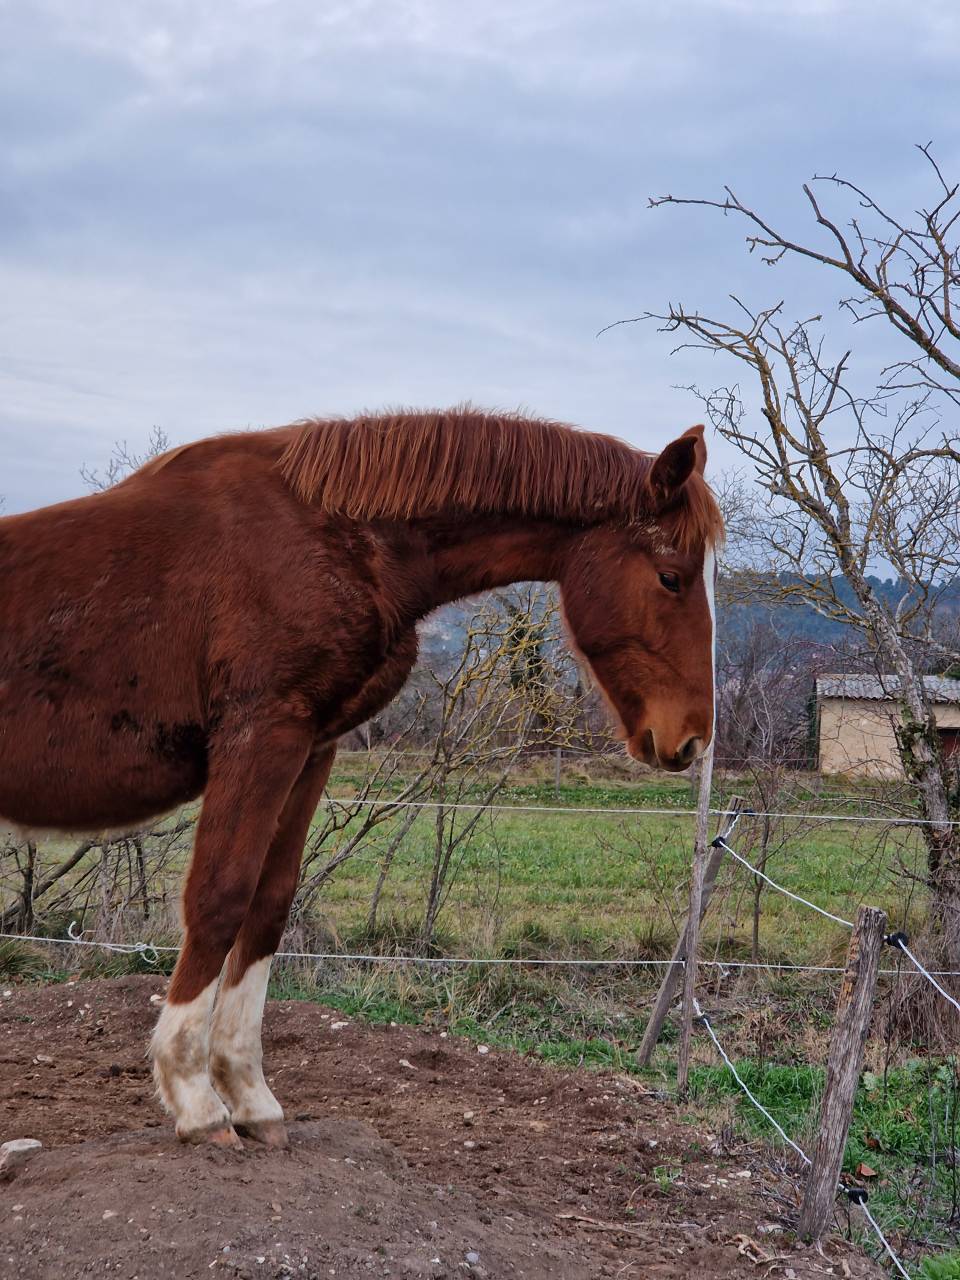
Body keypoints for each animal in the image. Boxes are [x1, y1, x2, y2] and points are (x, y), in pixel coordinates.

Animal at [0, 408, 722, 1148]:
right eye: (670, 577)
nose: (693, 735)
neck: (332, 537)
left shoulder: (308, 747)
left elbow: (269, 904)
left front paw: (251, 1095)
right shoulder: (260, 735)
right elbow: (220, 897)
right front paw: (196, 1100)